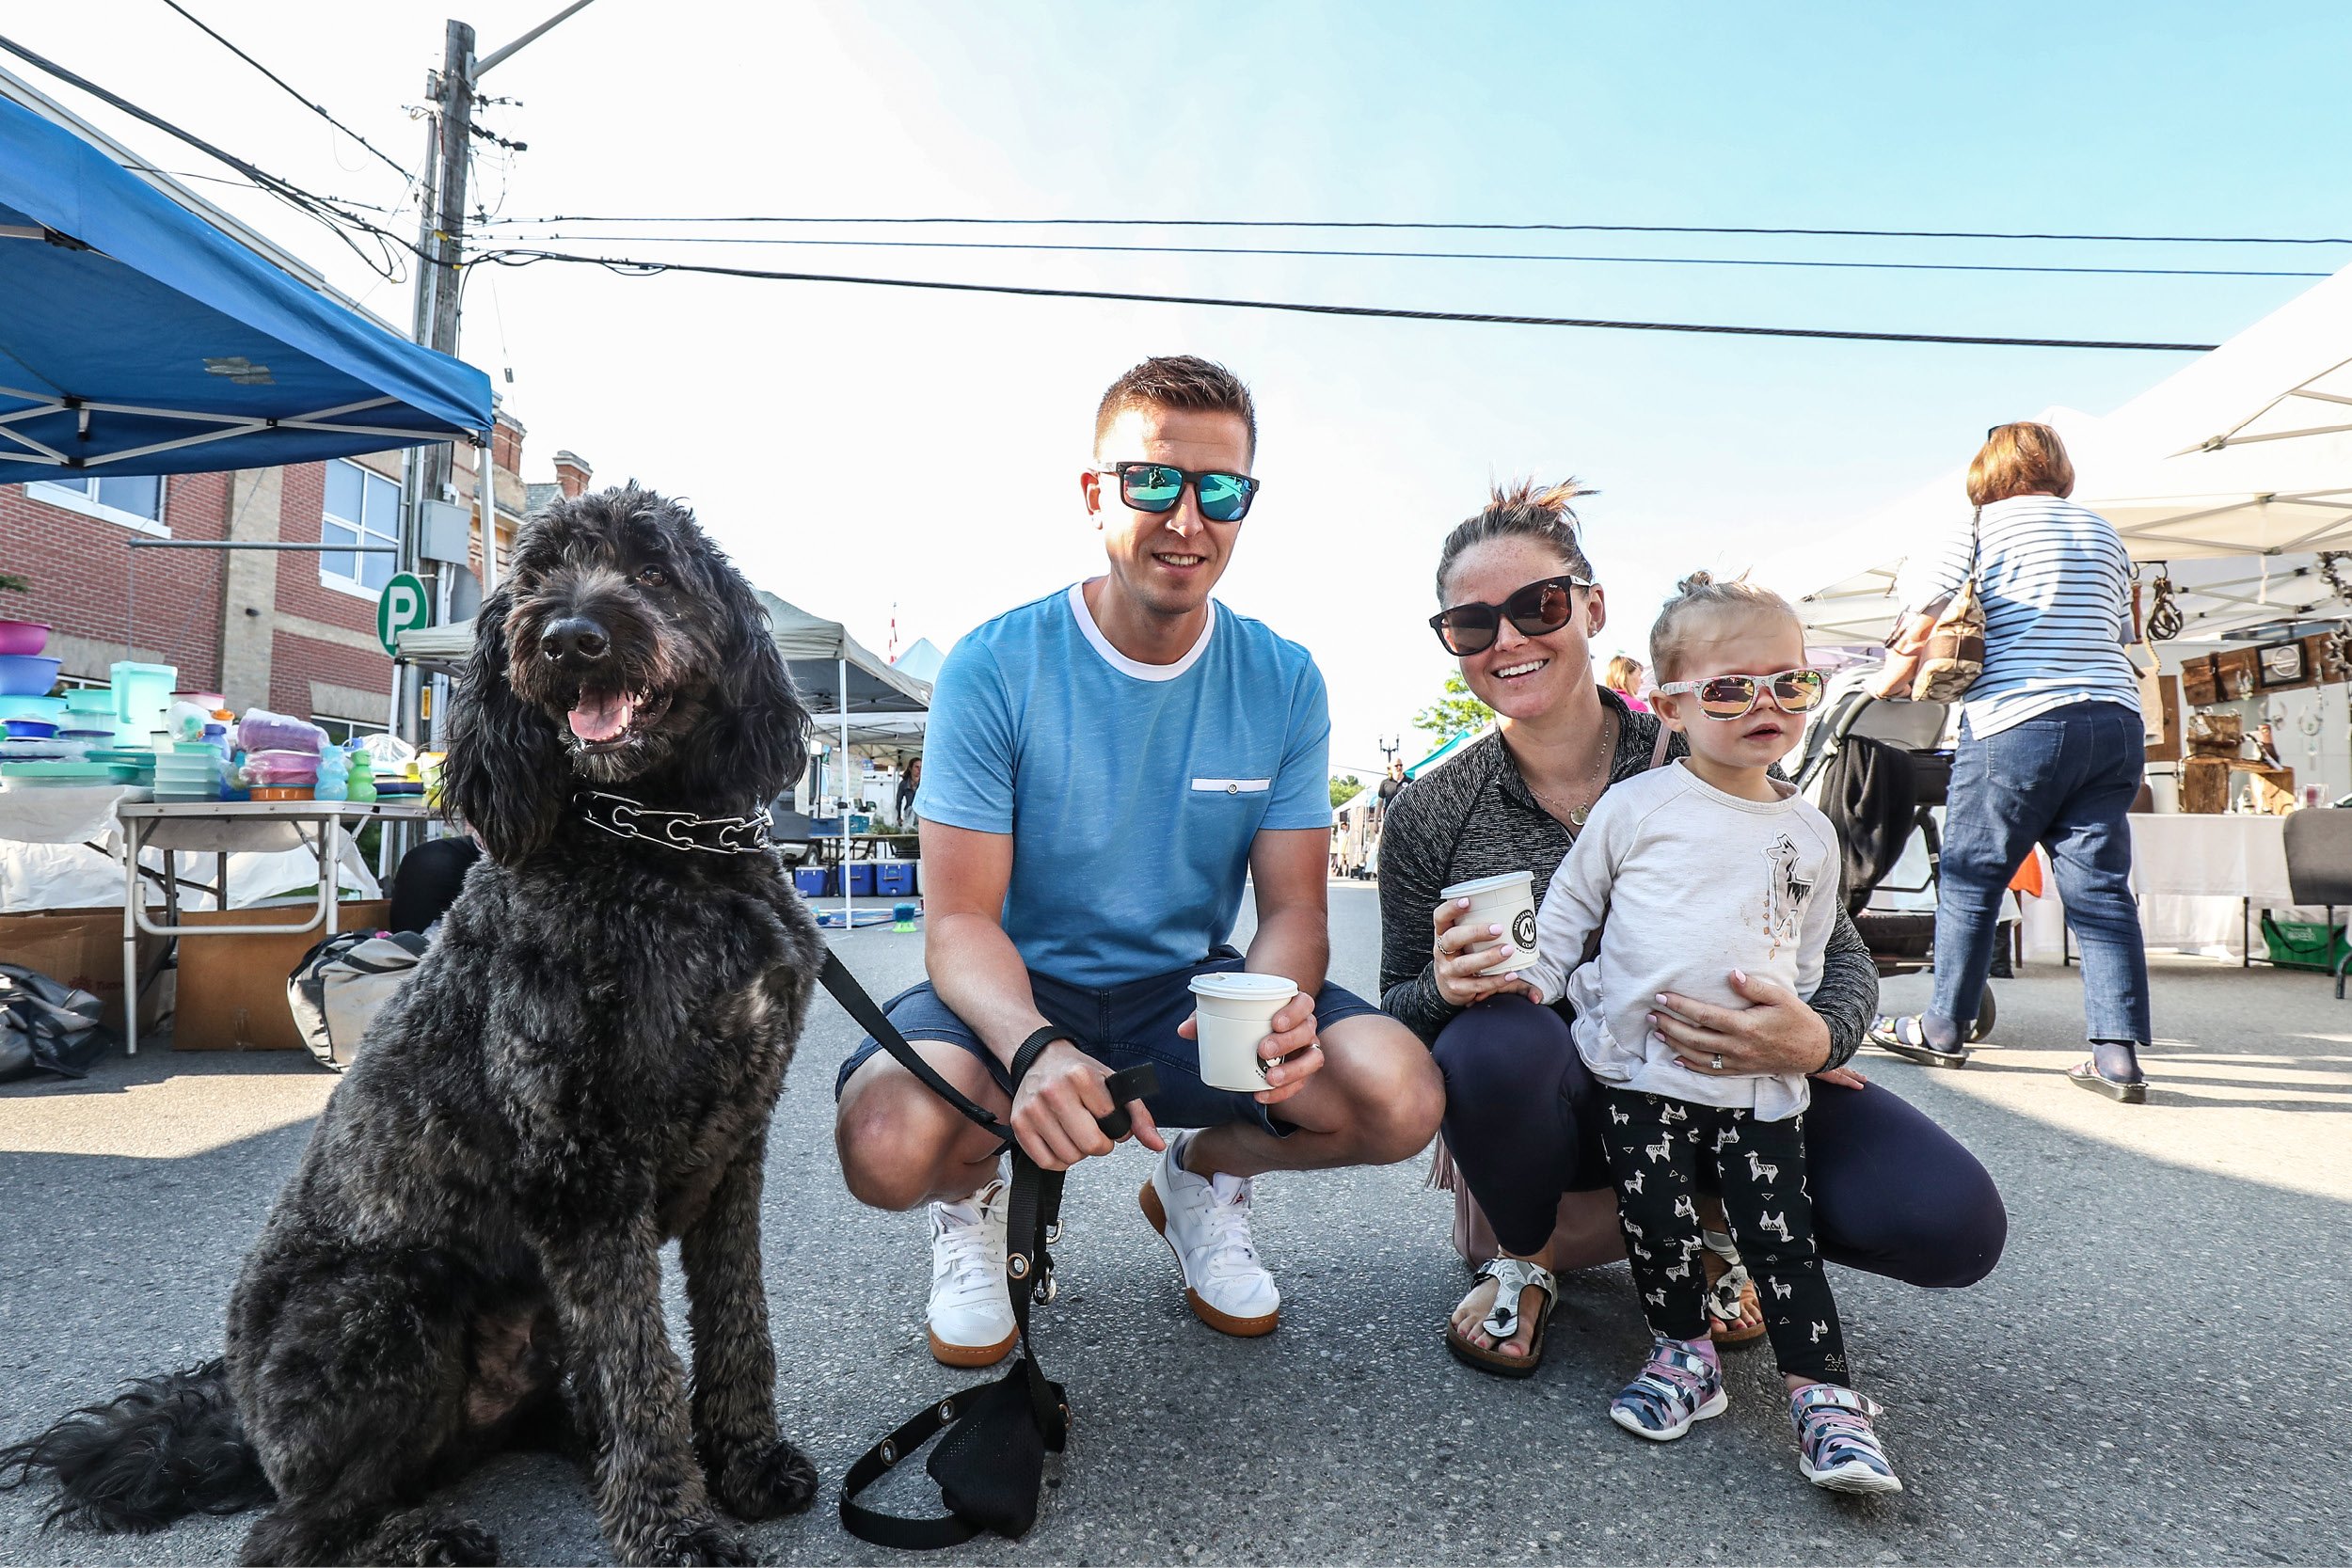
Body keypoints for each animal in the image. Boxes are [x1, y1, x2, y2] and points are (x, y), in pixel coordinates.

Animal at [2, 483, 828, 1560]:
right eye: (536, 577)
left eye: (653, 569)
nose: (570, 637)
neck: (661, 846)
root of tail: (242, 1422)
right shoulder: (583, 1174)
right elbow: (639, 1364)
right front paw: (673, 1527)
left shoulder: (735, 1148)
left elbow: (737, 1320)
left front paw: (745, 1460)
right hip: (382, 1305)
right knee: (290, 1530)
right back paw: (424, 1537)